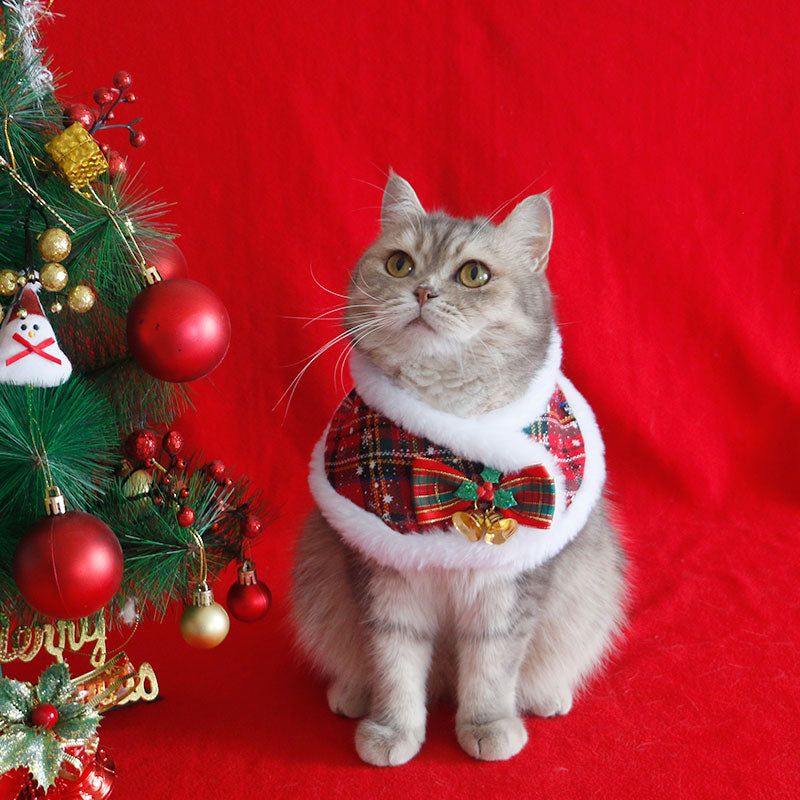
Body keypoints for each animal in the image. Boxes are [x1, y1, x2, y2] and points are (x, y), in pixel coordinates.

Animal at [290, 173, 628, 764]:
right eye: (399, 263)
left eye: (474, 274)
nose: (424, 291)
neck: (447, 443)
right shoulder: (385, 577)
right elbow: (395, 662)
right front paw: (392, 731)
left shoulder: (509, 585)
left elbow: (493, 666)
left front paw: (488, 725)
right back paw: (351, 692)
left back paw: (548, 696)